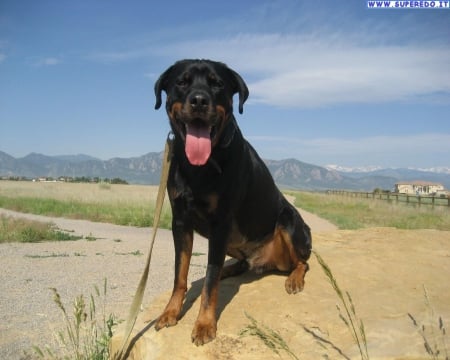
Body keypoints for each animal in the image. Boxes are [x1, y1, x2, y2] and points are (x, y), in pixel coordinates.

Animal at [153, 59, 312, 346]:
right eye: (181, 82)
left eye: (217, 84)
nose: (199, 100)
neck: (201, 166)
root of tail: (266, 262)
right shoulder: (180, 221)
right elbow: (180, 273)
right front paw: (170, 312)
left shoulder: (220, 222)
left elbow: (209, 285)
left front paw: (204, 325)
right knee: (234, 264)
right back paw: (229, 269)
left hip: (289, 222)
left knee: (302, 261)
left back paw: (294, 279)